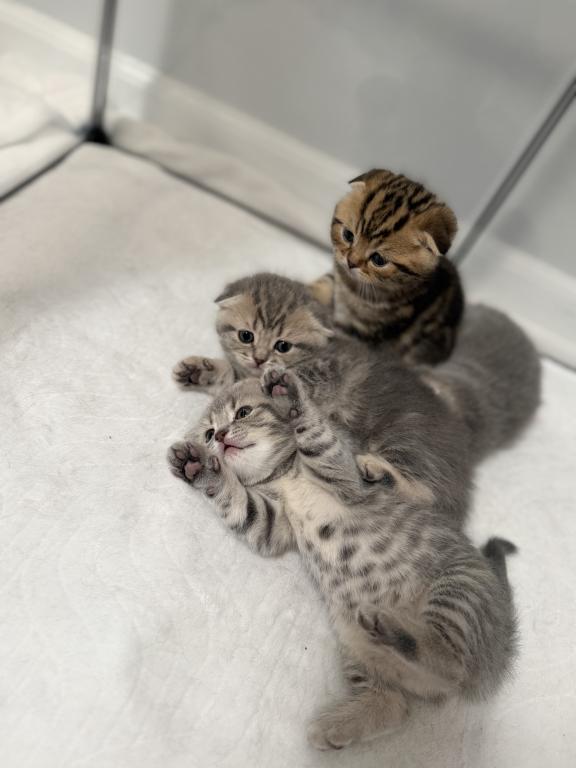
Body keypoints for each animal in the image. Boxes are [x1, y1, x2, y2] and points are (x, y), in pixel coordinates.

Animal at [168, 370, 517, 749]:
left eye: (243, 412)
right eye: (207, 432)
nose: (219, 436)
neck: (284, 474)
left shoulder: (348, 478)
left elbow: (320, 441)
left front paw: (291, 399)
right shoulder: (273, 525)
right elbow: (240, 504)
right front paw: (201, 467)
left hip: (458, 589)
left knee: (453, 662)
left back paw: (394, 627)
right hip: (353, 639)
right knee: (395, 703)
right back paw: (339, 725)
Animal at [173, 273, 540, 523]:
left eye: (283, 345)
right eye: (246, 335)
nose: (260, 358)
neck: (320, 350)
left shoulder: (321, 376)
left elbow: (250, 383)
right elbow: (234, 376)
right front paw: (199, 370)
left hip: (402, 439)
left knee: (424, 495)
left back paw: (378, 471)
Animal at [310, 168, 464, 364]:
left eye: (378, 260)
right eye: (348, 235)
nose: (351, 262)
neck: (353, 289)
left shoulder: (366, 332)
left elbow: (342, 338)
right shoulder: (339, 277)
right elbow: (325, 282)